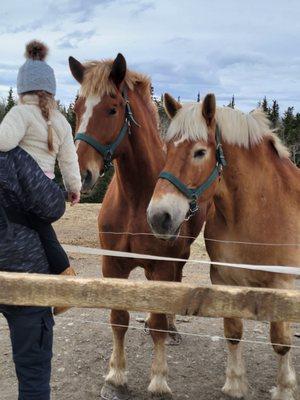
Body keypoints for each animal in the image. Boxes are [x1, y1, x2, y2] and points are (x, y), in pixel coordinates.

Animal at [69, 54, 207, 400]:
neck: (136, 198)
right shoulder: (113, 264)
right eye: (78, 108)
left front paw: (158, 380)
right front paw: (115, 377)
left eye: (112, 109)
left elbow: (158, 320)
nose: (79, 176)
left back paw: (172, 329)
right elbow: (118, 318)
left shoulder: (162, 264)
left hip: (179, 257)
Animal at [146, 92, 298, 398]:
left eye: (199, 152)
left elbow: (281, 341)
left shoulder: (283, 284)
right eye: (168, 149)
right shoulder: (223, 278)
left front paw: (285, 388)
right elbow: (233, 331)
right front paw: (235, 383)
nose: (158, 217)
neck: (260, 210)